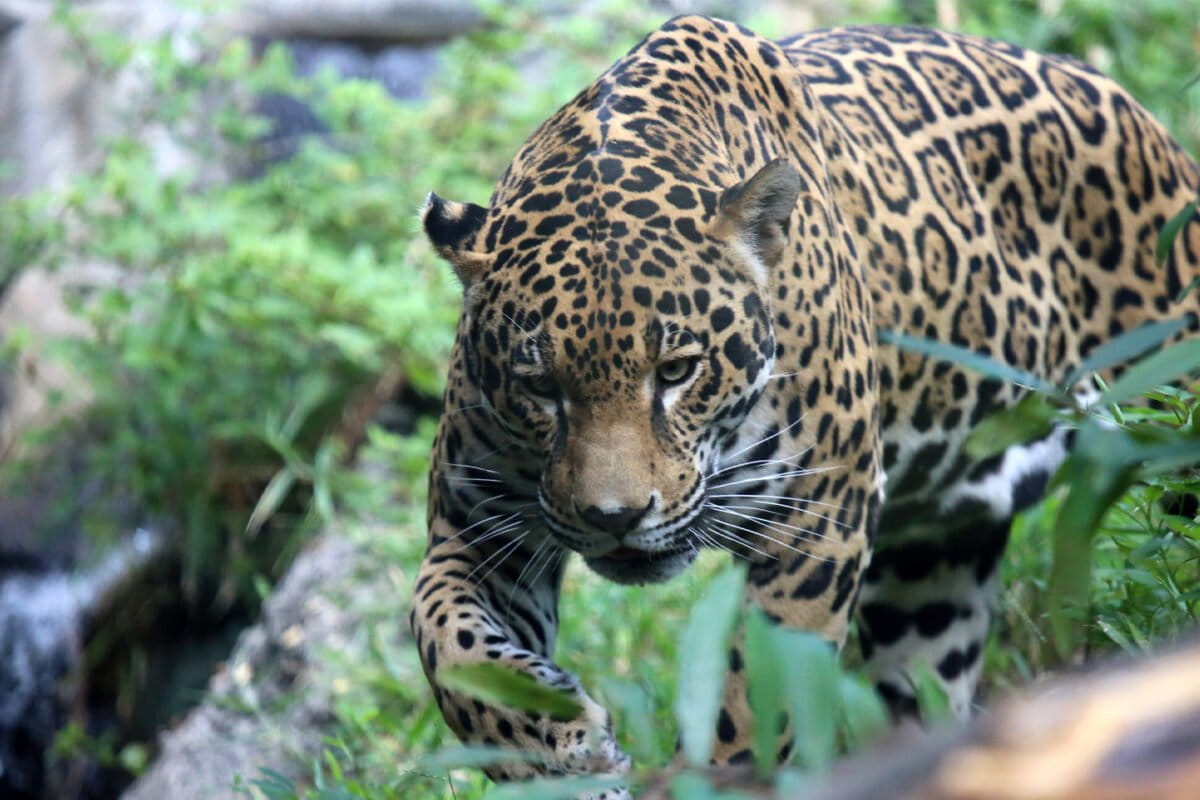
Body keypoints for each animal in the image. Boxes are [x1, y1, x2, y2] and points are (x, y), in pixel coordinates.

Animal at [410, 14, 1200, 797]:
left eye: (677, 370)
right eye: (540, 387)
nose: (615, 519)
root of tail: (1146, 123)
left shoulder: (817, 522)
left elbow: (755, 703)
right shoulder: (478, 525)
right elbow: (446, 643)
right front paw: (559, 755)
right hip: (931, 568)